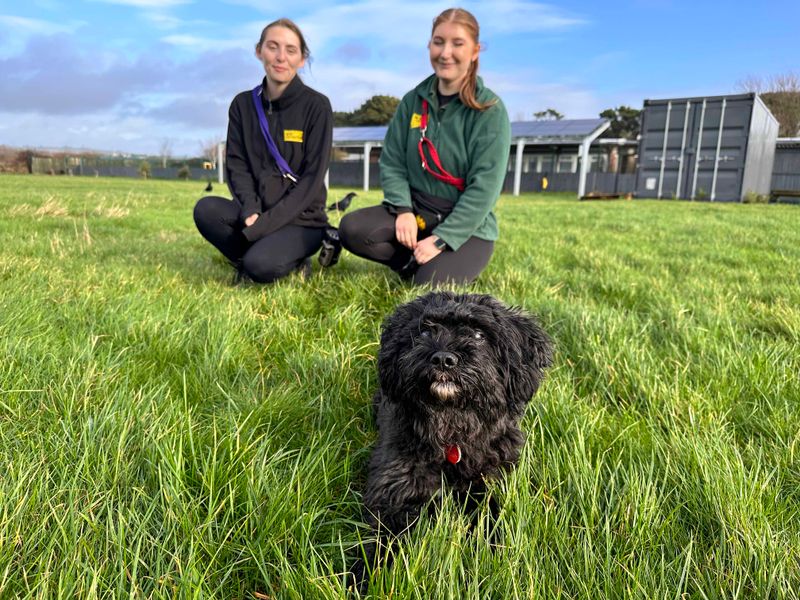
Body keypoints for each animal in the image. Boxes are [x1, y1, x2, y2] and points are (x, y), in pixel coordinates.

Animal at [354, 292, 552, 588]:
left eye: (479, 334)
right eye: (425, 330)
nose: (443, 359)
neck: (452, 428)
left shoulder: (493, 481)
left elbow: (493, 518)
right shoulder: (395, 490)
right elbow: (382, 540)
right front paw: (364, 578)